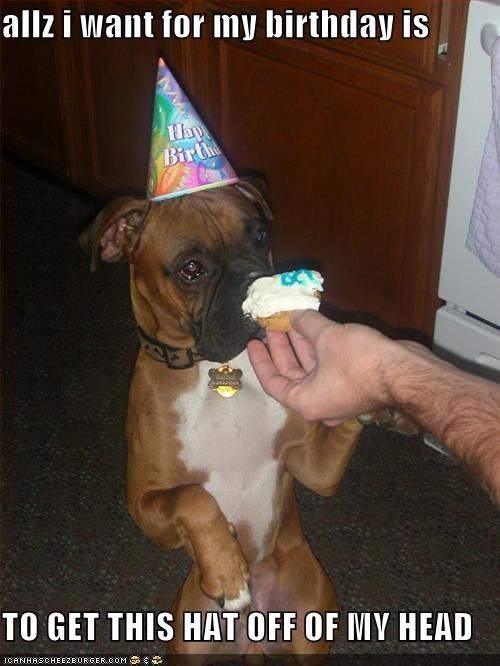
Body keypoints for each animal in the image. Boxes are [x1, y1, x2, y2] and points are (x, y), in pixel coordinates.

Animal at [81, 179, 373, 662]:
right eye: (191, 268)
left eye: (259, 236)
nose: (253, 284)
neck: (218, 368)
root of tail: (254, 633)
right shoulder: (145, 506)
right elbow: (194, 499)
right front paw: (227, 573)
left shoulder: (314, 469)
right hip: (187, 640)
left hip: (310, 622)